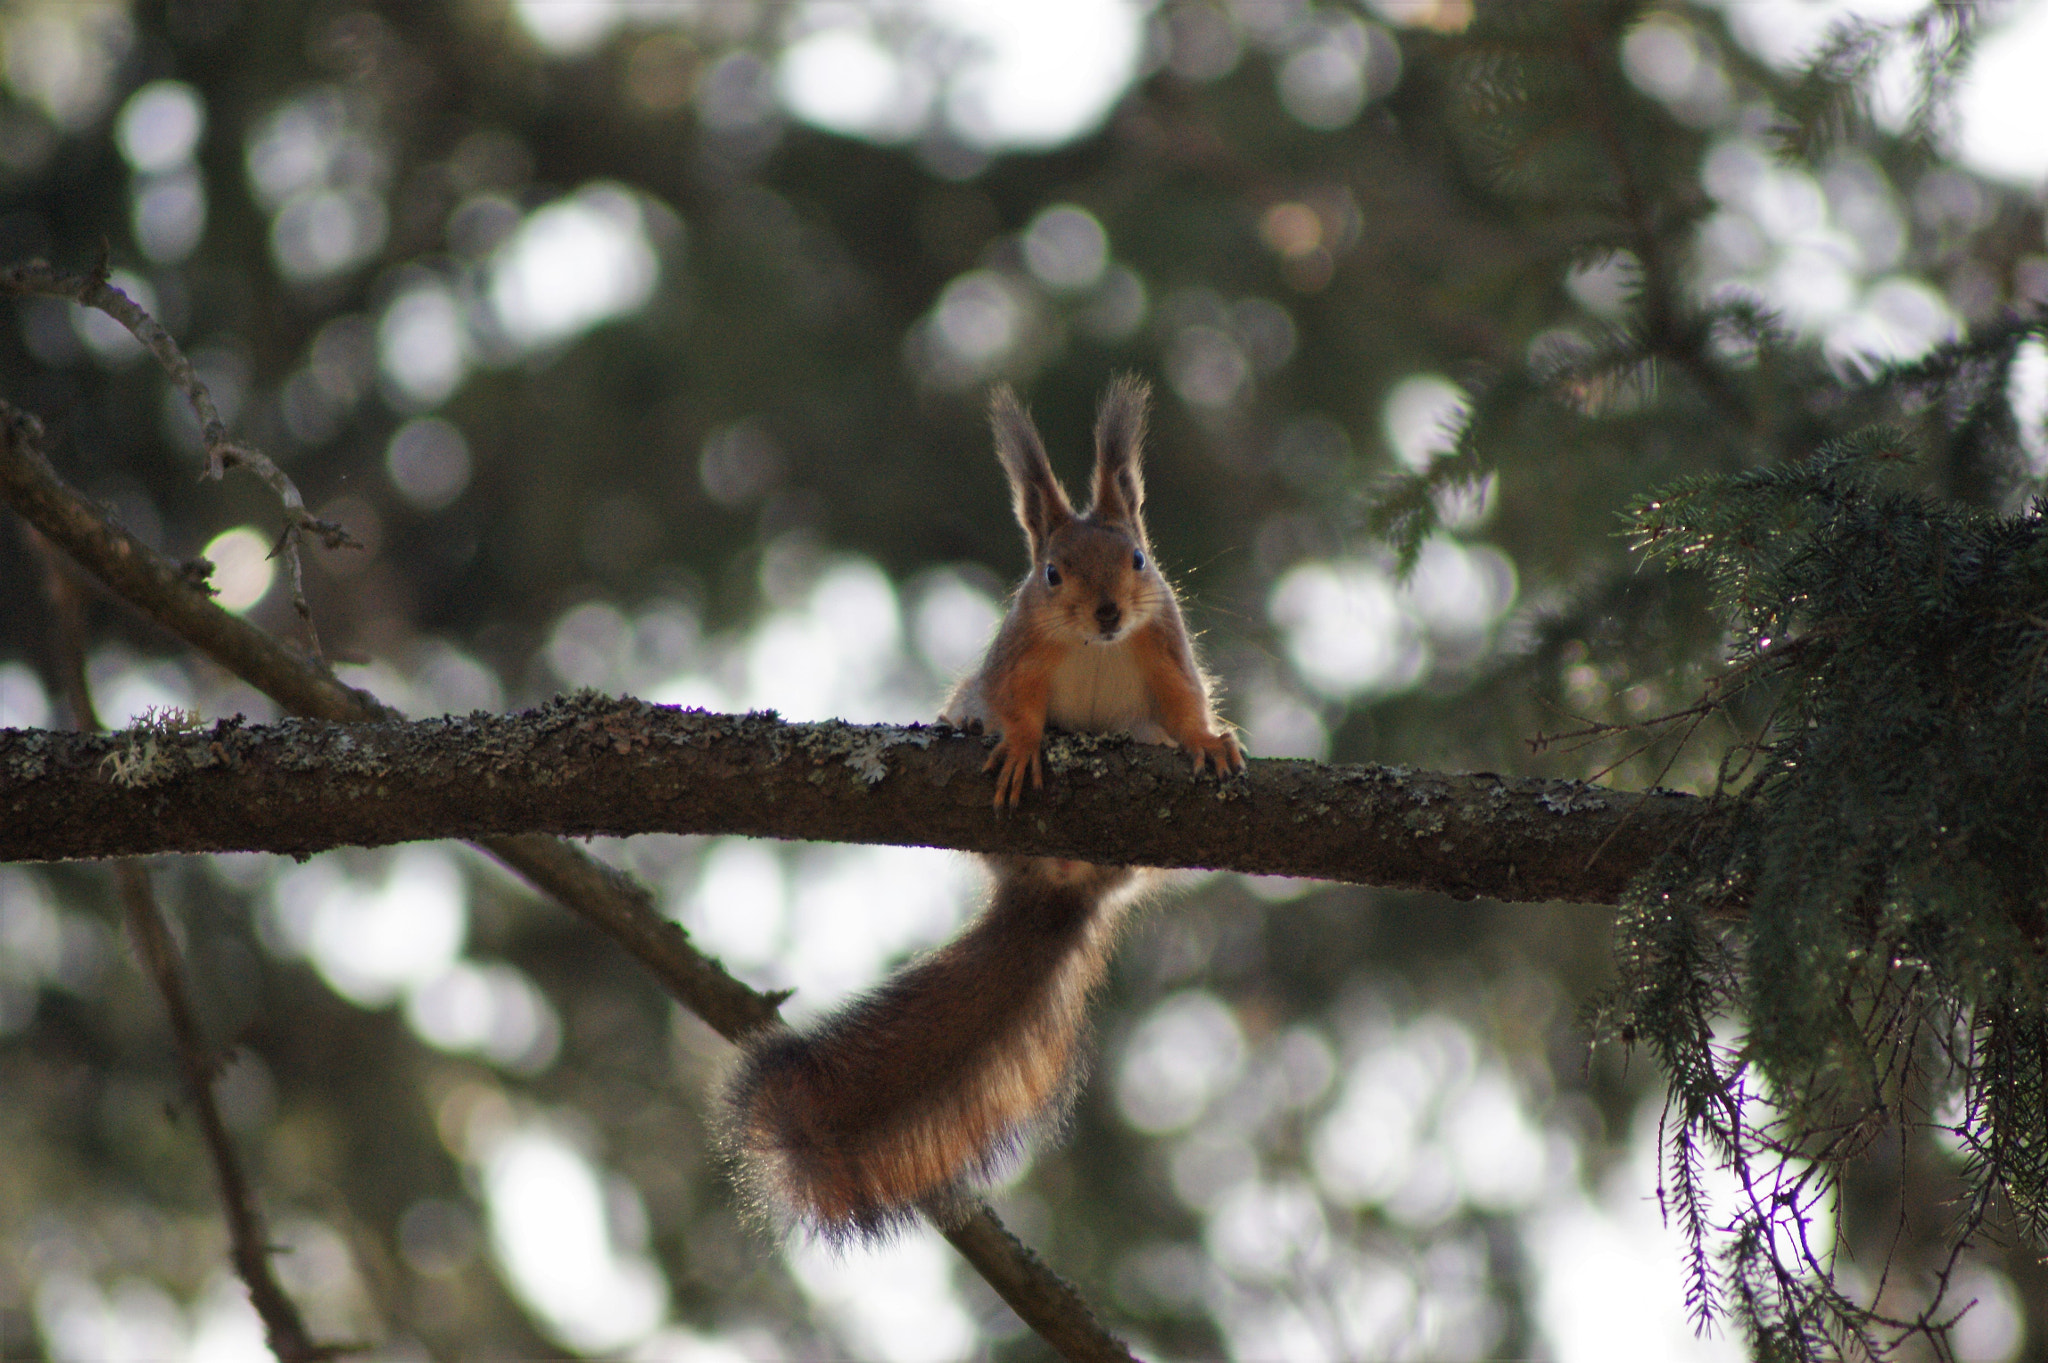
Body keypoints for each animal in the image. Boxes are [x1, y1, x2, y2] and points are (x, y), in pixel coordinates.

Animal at [724, 374, 1245, 1244]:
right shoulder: (1016, 659)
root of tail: (1060, 886)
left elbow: (1183, 705)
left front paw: (1209, 740)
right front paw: (1023, 744)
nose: (1108, 611)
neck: (1096, 648)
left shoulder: (1165, 648)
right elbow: (1016, 703)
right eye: (1051, 573)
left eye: (1139, 558)